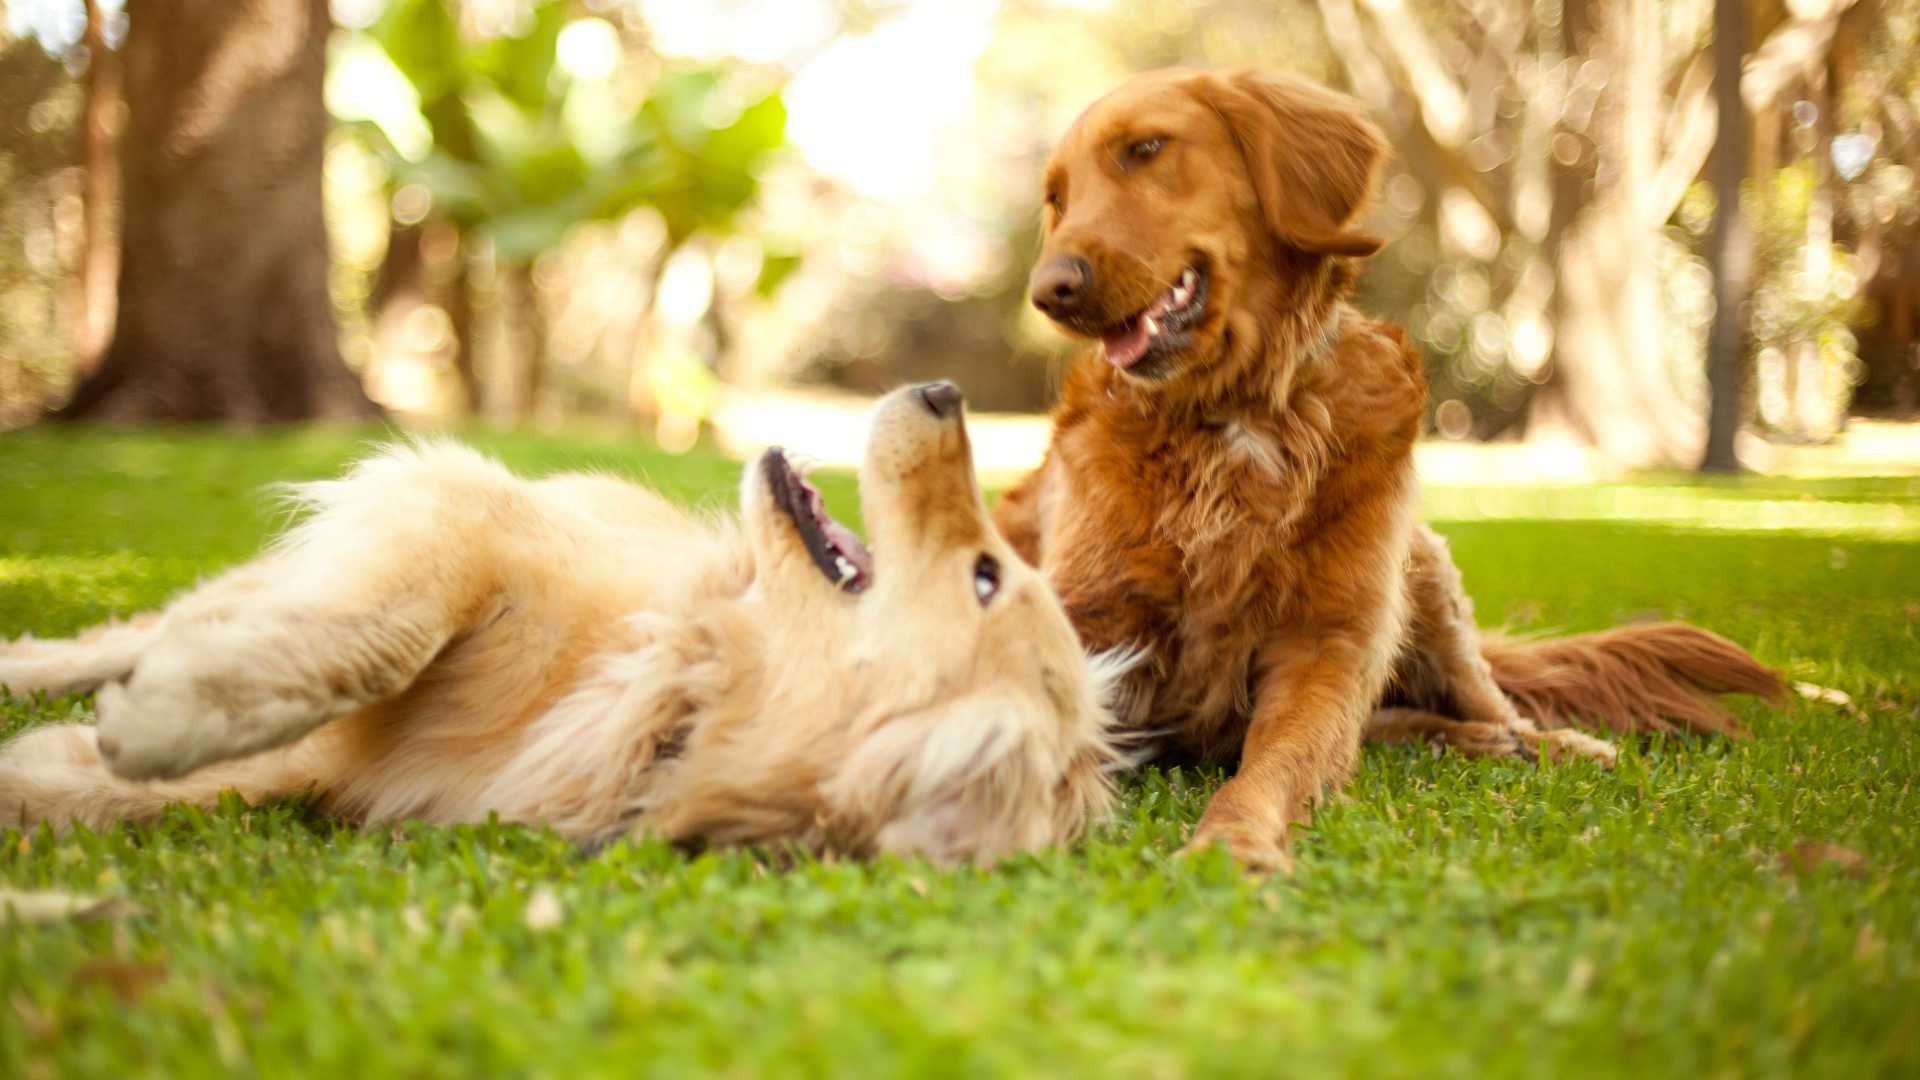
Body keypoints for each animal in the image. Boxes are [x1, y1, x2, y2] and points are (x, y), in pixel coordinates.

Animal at [0, 382, 1121, 860]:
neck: (677, 685)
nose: (945, 387)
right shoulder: (461, 512)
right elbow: (381, 638)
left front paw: (83, 760)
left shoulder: (336, 770)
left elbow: (127, 789)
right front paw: (166, 719)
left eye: (987, 576)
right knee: (135, 632)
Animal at [990, 69, 1781, 864]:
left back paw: (1543, 743)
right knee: (1391, 726)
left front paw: (1231, 845)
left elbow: (1276, 765)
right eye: (1057, 198)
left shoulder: (1329, 641)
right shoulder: (1084, 619)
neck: (1237, 415)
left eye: (1146, 149)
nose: (1049, 291)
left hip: (1424, 577)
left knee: (1488, 704)